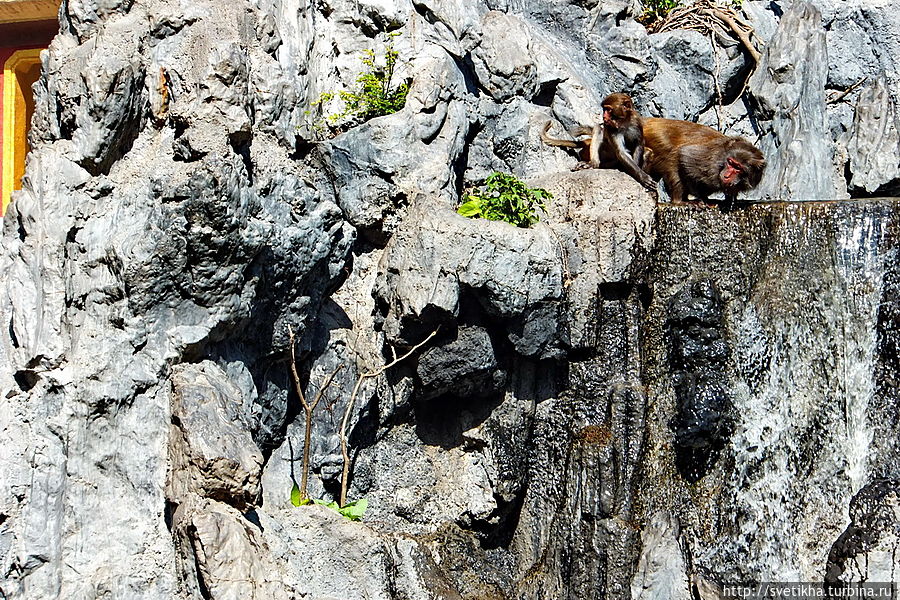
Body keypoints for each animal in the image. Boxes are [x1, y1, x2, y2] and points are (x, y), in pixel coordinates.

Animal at [640, 118, 768, 205]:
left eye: (738, 168)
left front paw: (731, 198)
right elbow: (685, 155)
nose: (726, 175)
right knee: (673, 158)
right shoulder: (710, 162)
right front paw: (702, 198)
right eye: (730, 162)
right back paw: (679, 201)